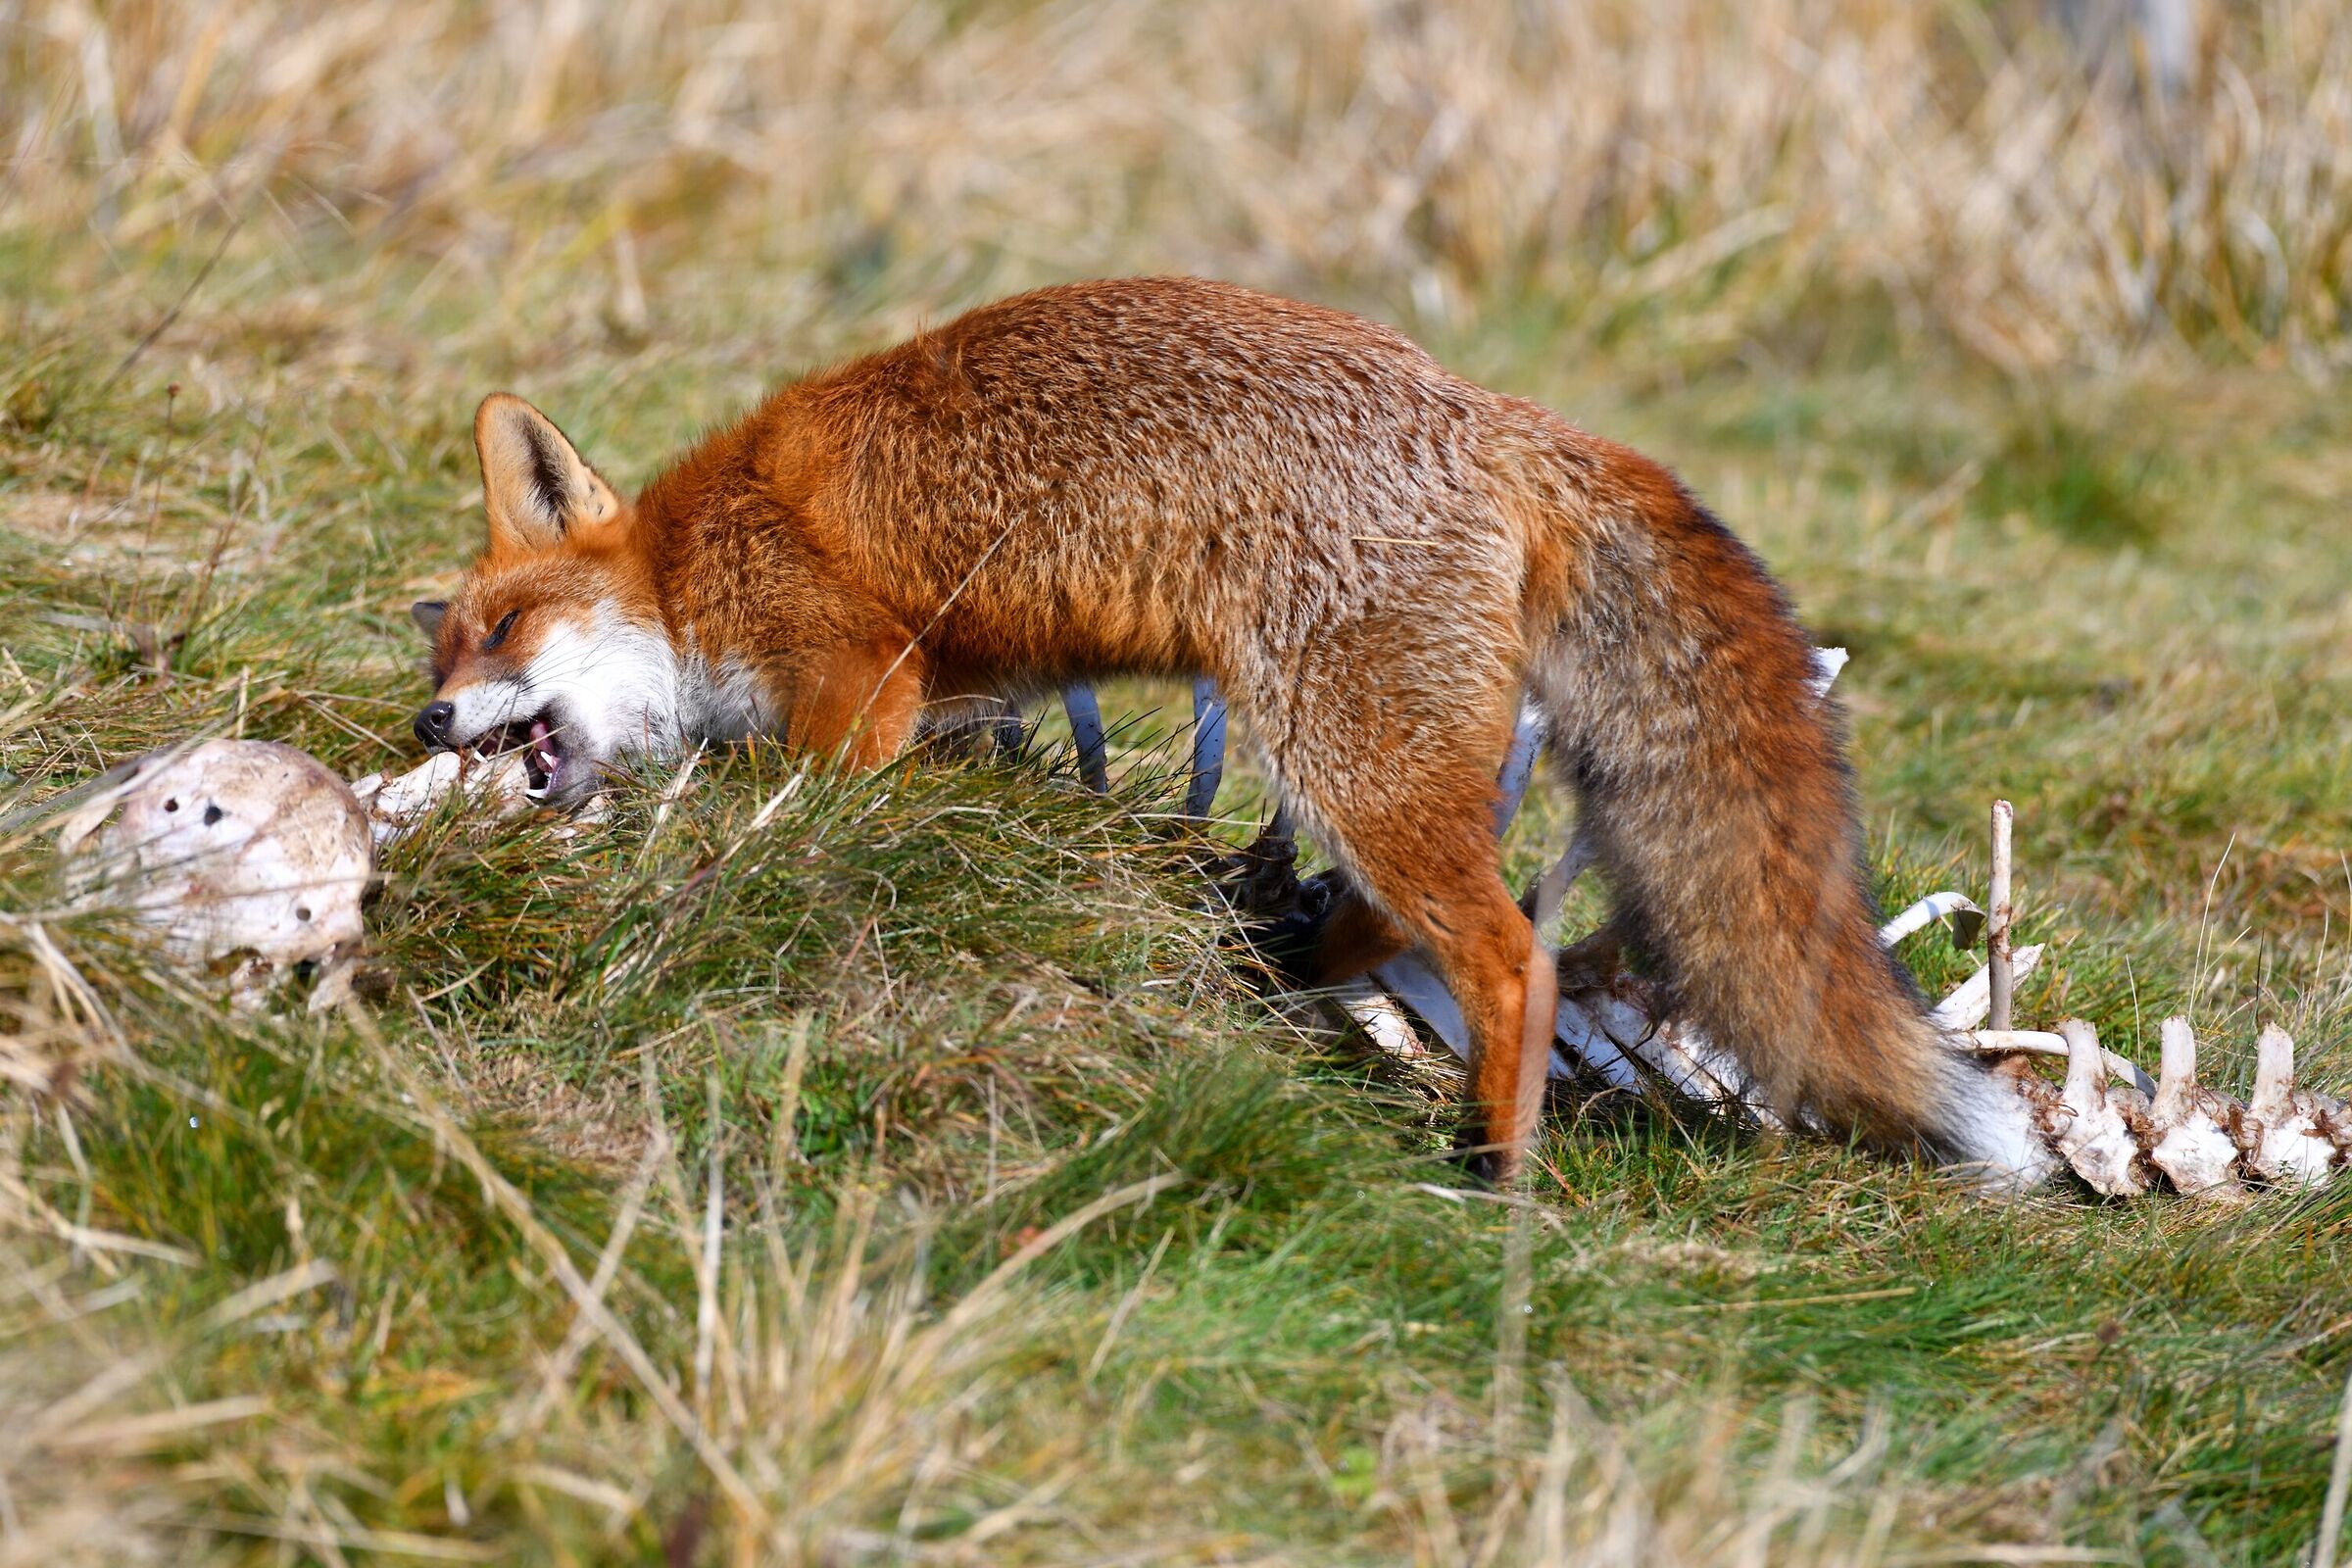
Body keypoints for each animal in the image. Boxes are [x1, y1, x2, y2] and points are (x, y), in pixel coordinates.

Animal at [411, 276, 2049, 1189]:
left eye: (499, 628)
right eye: (439, 641)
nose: (428, 714)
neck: (698, 564)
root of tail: (1502, 413)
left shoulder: (860, 675)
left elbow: (809, 791)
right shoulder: (955, 688)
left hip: (1346, 750)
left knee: (1509, 954)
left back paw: (1489, 1166)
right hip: (1389, 766)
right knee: (1436, 920)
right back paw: (1297, 977)